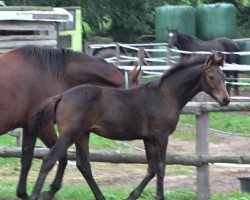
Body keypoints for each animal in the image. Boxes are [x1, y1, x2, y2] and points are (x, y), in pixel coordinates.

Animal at [0, 45, 141, 200]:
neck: (49, 73)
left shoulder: (30, 128)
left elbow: (26, 161)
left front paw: (25, 193)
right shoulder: (45, 127)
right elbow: (62, 157)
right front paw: (50, 190)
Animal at [28, 52, 229, 199]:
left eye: (224, 76)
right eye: (211, 76)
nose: (225, 100)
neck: (165, 96)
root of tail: (61, 96)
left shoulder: (148, 139)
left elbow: (151, 168)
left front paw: (132, 195)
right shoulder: (161, 137)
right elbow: (161, 168)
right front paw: (159, 197)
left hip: (82, 135)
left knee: (83, 165)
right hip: (69, 134)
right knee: (50, 159)